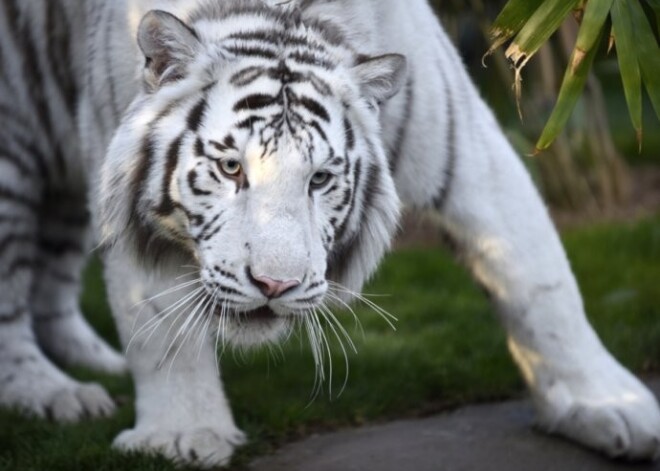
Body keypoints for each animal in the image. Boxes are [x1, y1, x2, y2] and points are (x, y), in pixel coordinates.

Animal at [0, 0, 656, 466]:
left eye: (319, 178)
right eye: (231, 168)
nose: (273, 285)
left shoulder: (462, 144)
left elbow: (539, 278)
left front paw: (610, 406)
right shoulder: (121, 176)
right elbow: (156, 318)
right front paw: (184, 434)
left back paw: (95, 364)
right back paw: (57, 393)